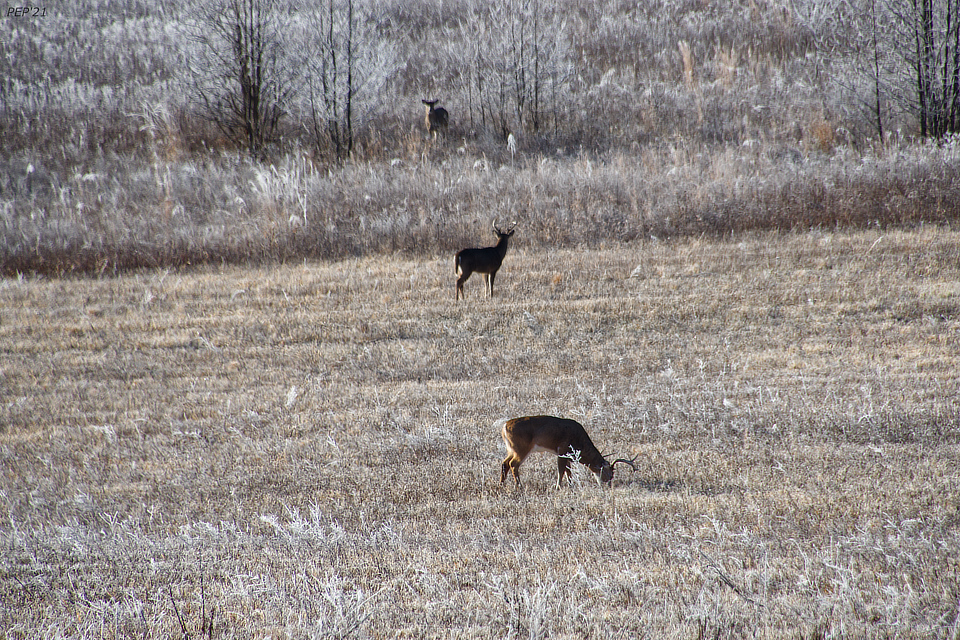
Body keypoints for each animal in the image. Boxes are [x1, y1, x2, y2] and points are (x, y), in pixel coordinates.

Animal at [498, 415, 638, 490]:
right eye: (610, 474)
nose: (608, 486)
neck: (579, 441)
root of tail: (504, 426)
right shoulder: (562, 451)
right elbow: (561, 471)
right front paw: (558, 487)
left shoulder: (569, 456)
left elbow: (568, 471)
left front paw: (571, 486)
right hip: (521, 449)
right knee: (513, 464)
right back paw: (519, 486)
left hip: (512, 449)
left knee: (504, 463)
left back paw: (501, 484)